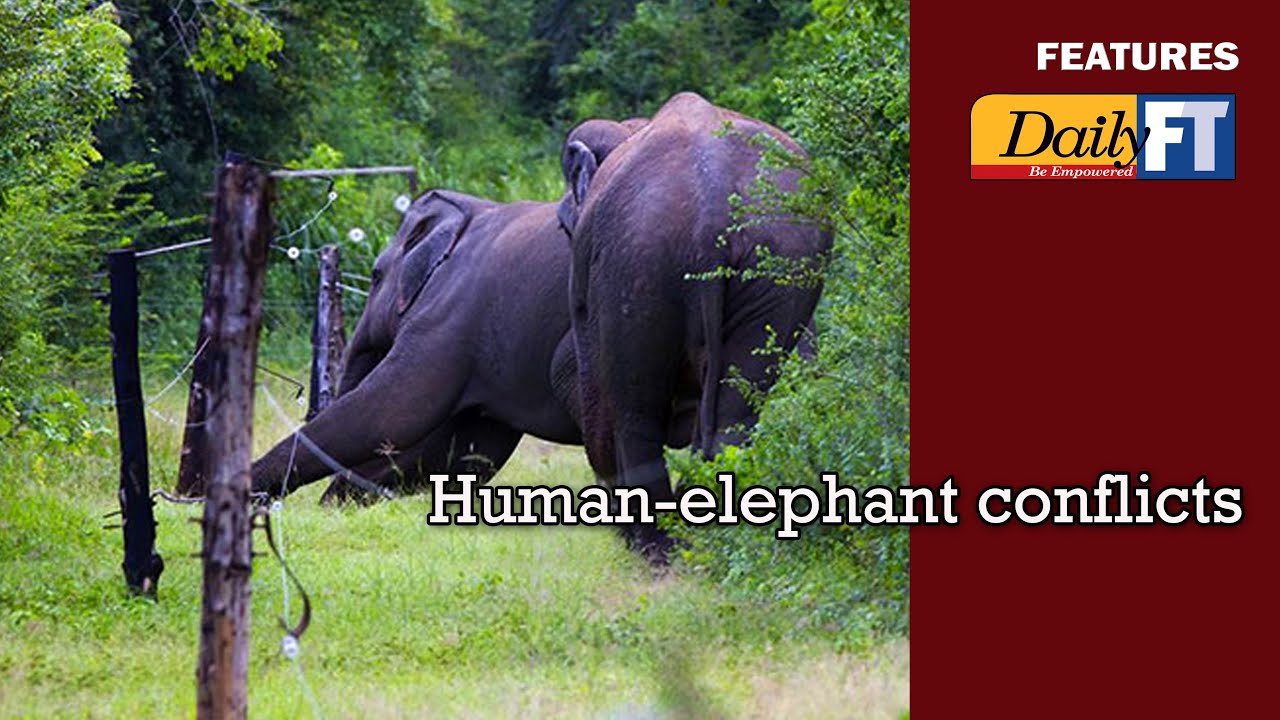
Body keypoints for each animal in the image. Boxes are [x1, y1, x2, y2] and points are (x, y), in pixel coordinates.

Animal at [557, 92, 834, 560]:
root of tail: (712, 202)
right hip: (780, 261)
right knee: (734, 416)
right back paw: (705, 539)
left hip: (636, 261)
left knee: (635, 412)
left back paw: (655, 550)